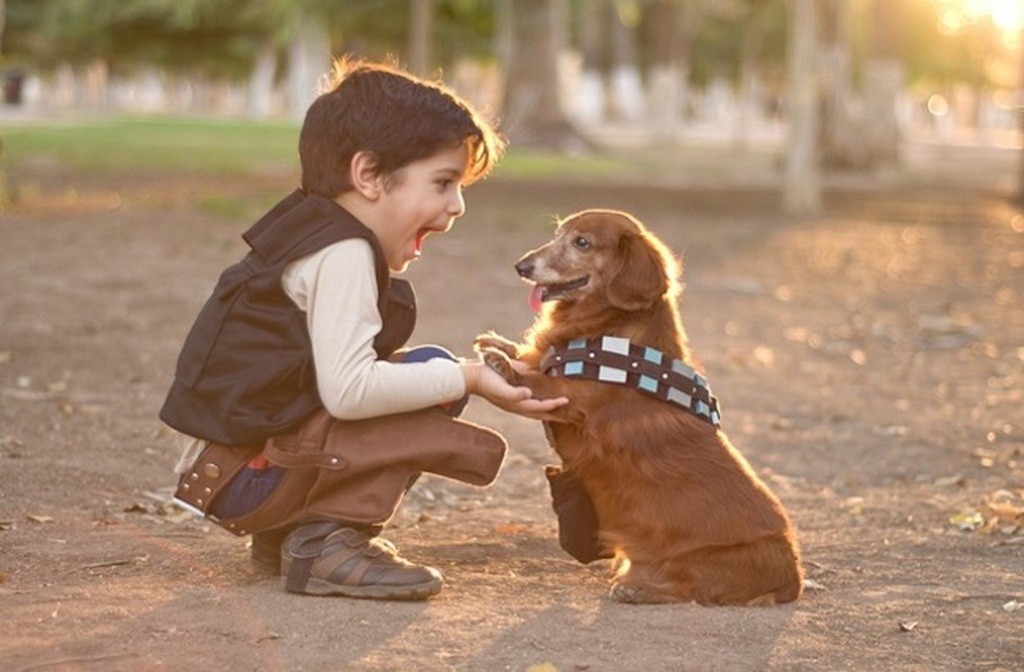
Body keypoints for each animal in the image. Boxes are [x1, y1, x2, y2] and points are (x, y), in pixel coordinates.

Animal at [475, 208, 802, 602]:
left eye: (582, 242)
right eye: (557, 235)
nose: (521, 266)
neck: (610, 332)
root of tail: (793, 577)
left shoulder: (568, 396)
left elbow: (535, 379)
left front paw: (501, 363)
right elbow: (533, 356)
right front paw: (501, 344)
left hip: (701, 559)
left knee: (689, 588)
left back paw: (638, 588)